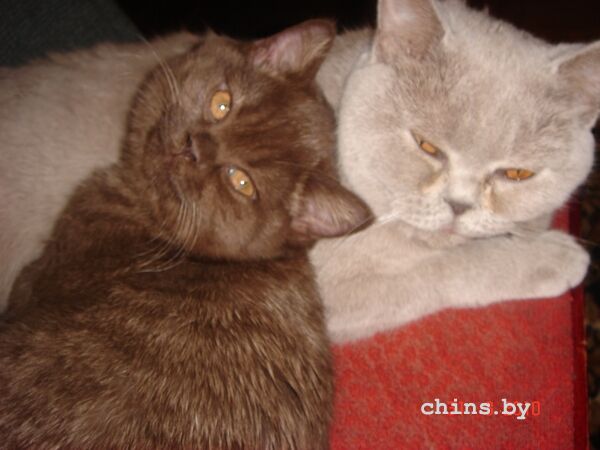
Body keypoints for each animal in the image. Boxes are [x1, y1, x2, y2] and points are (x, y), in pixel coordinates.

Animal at [0, 0, 596, 342]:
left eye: (517, 175)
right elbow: (447, 271)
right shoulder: (328, 291)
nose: (459, 205)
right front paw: (550, 257)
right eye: (426, 145)